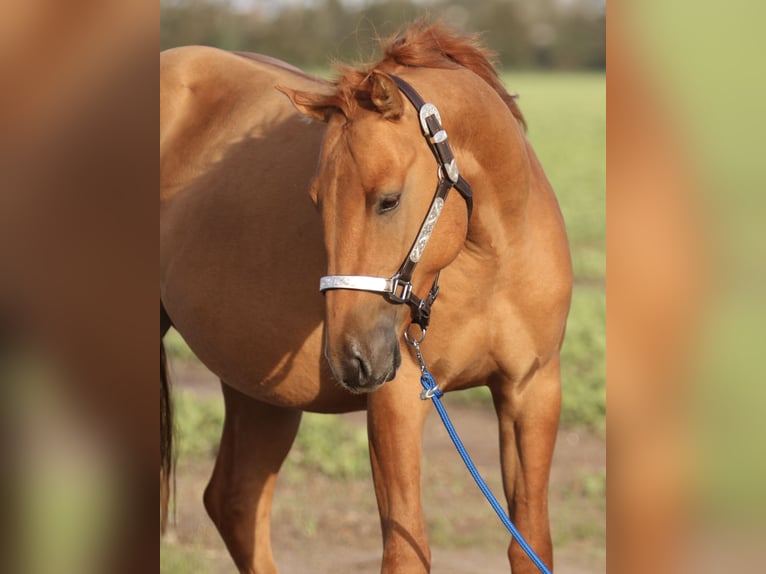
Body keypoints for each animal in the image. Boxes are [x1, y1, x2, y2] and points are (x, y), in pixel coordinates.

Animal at [160, 21, 572, 574]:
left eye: (389, 200)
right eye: (316, 201)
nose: (349, 359)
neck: (492, 262)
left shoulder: (532, 390)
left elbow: (529, 542)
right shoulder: (399, 400)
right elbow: (405, 551)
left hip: (257, 387)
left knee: (236, 502)